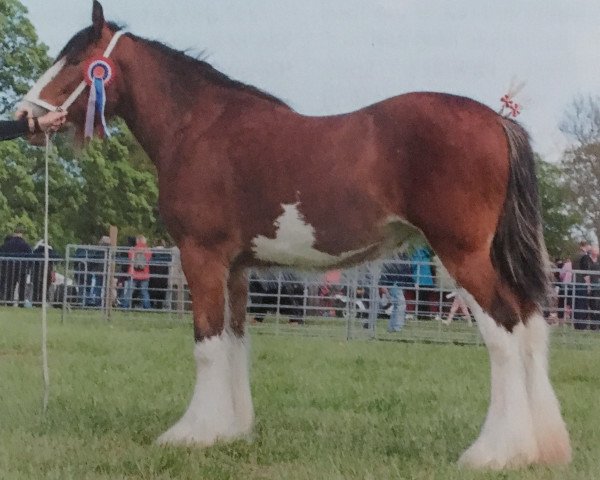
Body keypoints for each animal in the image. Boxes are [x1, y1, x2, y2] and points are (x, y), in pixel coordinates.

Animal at [19, 1, 572, 468]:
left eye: (77, 60)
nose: (25, 116)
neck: (198, 129)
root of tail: (497, 120)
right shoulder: (237, 268)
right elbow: (235, 341)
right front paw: (230, 430)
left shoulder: (201, 256)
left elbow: (206, 342)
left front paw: (191, 433)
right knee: (529, 327)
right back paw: (540, 447)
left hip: (462, 256)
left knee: (503, 333)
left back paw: (494, 452)